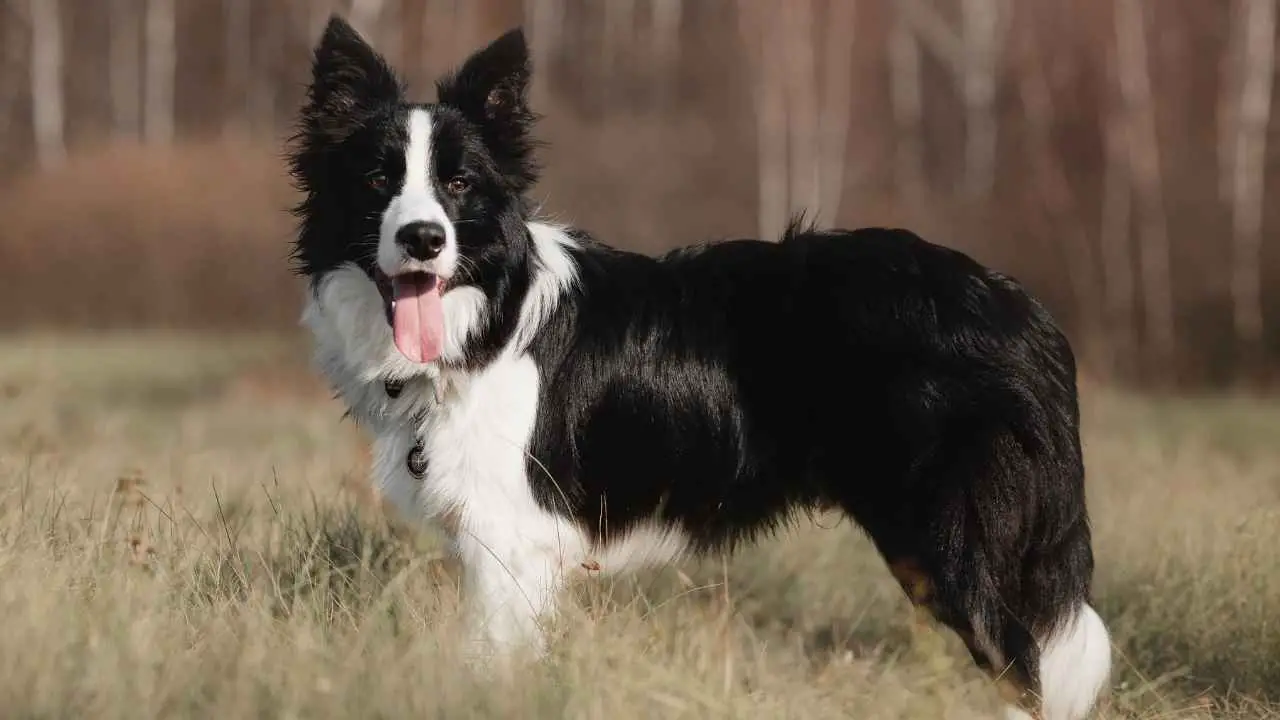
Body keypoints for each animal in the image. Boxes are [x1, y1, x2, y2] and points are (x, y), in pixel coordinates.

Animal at [288, 16, 1111, 717]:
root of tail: (1023, 309)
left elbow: (493, 660)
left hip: (954, 541)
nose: (424, 240)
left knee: (1028, 664)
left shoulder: (509, 538)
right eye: (376, 180)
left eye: (459, 185)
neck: (483, 315)